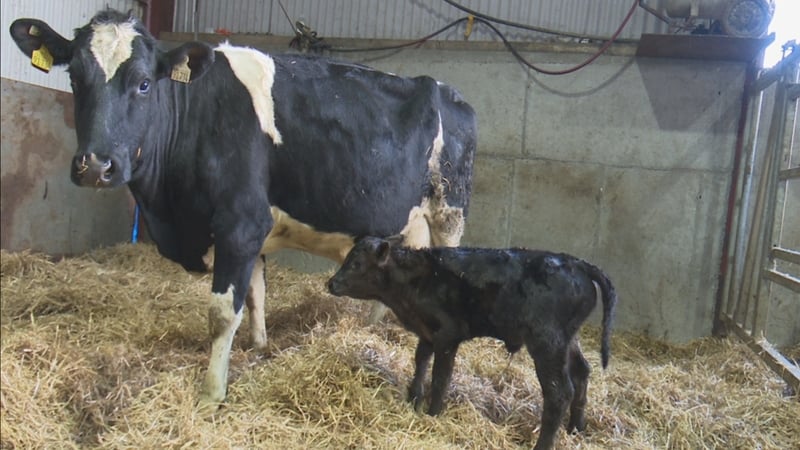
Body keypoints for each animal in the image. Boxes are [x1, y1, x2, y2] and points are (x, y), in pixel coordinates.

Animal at [9, 9, 476, 413]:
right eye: (74, 76)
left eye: (143, 83)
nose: (96, 166)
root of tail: (448, 91)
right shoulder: (252, 233)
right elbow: (255, 294)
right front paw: (259, 347)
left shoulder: (241, 224)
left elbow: (222, 312)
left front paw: (212, 392)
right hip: (409, 221)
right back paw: (372, 329)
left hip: (449, 210)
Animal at [327, 237, 616, 450]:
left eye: (356, 263)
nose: (331, 283)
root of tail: (576, 262)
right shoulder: (427, 332)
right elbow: (420, 362)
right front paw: (413, 398)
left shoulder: (448, 335)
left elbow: (441, 376)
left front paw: (433, 412)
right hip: (568, 339)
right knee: (582, 372)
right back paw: (576, 428)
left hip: (547, 342)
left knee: (559, 392)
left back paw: (544, 444)